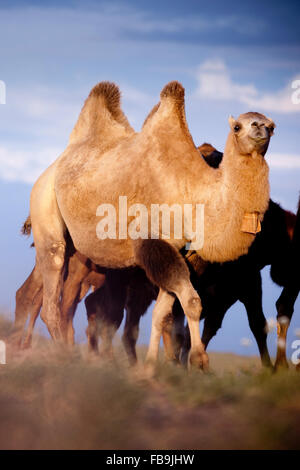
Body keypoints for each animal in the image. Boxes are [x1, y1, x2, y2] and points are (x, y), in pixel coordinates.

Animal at [28, 81, 274, 370]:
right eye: (237, 127)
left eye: (272, 126)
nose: (260, 127)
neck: (193, 190)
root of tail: (53, 166)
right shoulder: (153, 239)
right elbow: (192, 301)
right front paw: (198, 359)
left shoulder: (179, 251)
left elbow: (162, 312)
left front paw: (150, 365)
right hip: (44, 205)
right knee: (52, 293)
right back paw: (65, 359)